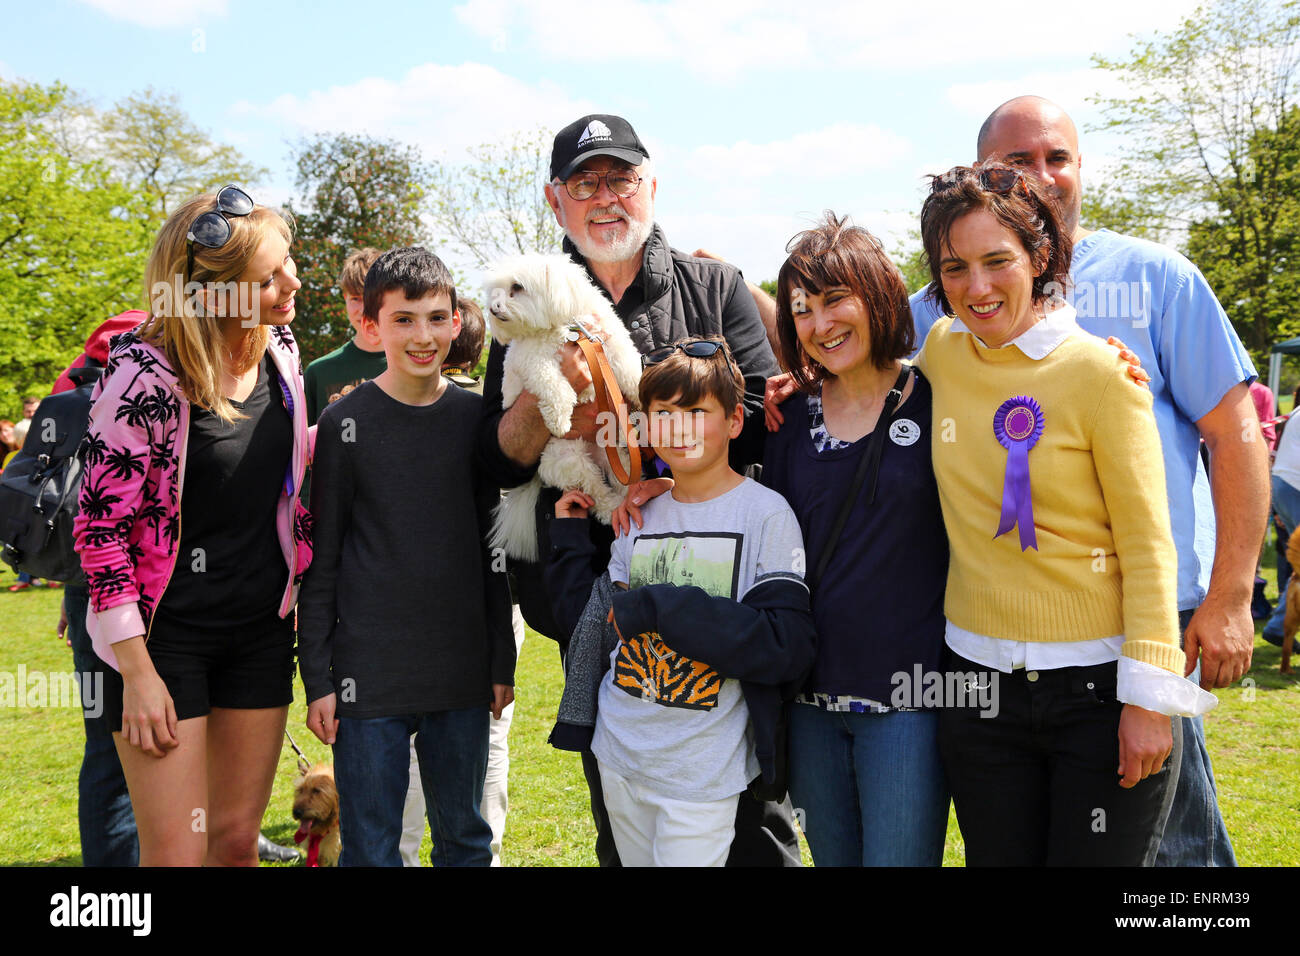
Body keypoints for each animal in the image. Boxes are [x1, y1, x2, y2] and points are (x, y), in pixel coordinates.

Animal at [480, 257, 642, 564]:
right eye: (496, 291)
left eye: (516, 287)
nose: (494, 308)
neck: (566, 328)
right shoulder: (533, 361)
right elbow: (553, 384)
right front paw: (560, 418)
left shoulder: (608, 340)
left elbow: (628, 366)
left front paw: (641, 392)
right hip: (570, 459)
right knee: (596, 493)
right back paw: (614, 507)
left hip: (617, 455)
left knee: (624, 478)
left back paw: (636, 496)